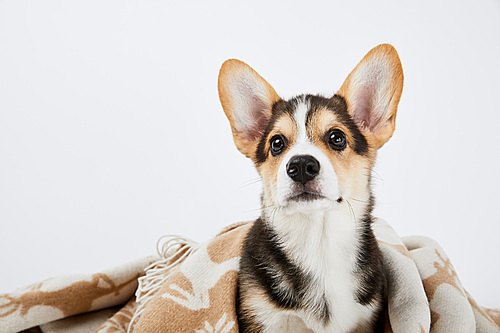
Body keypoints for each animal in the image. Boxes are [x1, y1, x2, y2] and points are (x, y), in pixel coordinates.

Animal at [218, 44, 402, 332]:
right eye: (277, 143)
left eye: (337, 138)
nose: (302, 165)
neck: (318, 242)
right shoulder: (260, 317)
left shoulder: (365, 319)